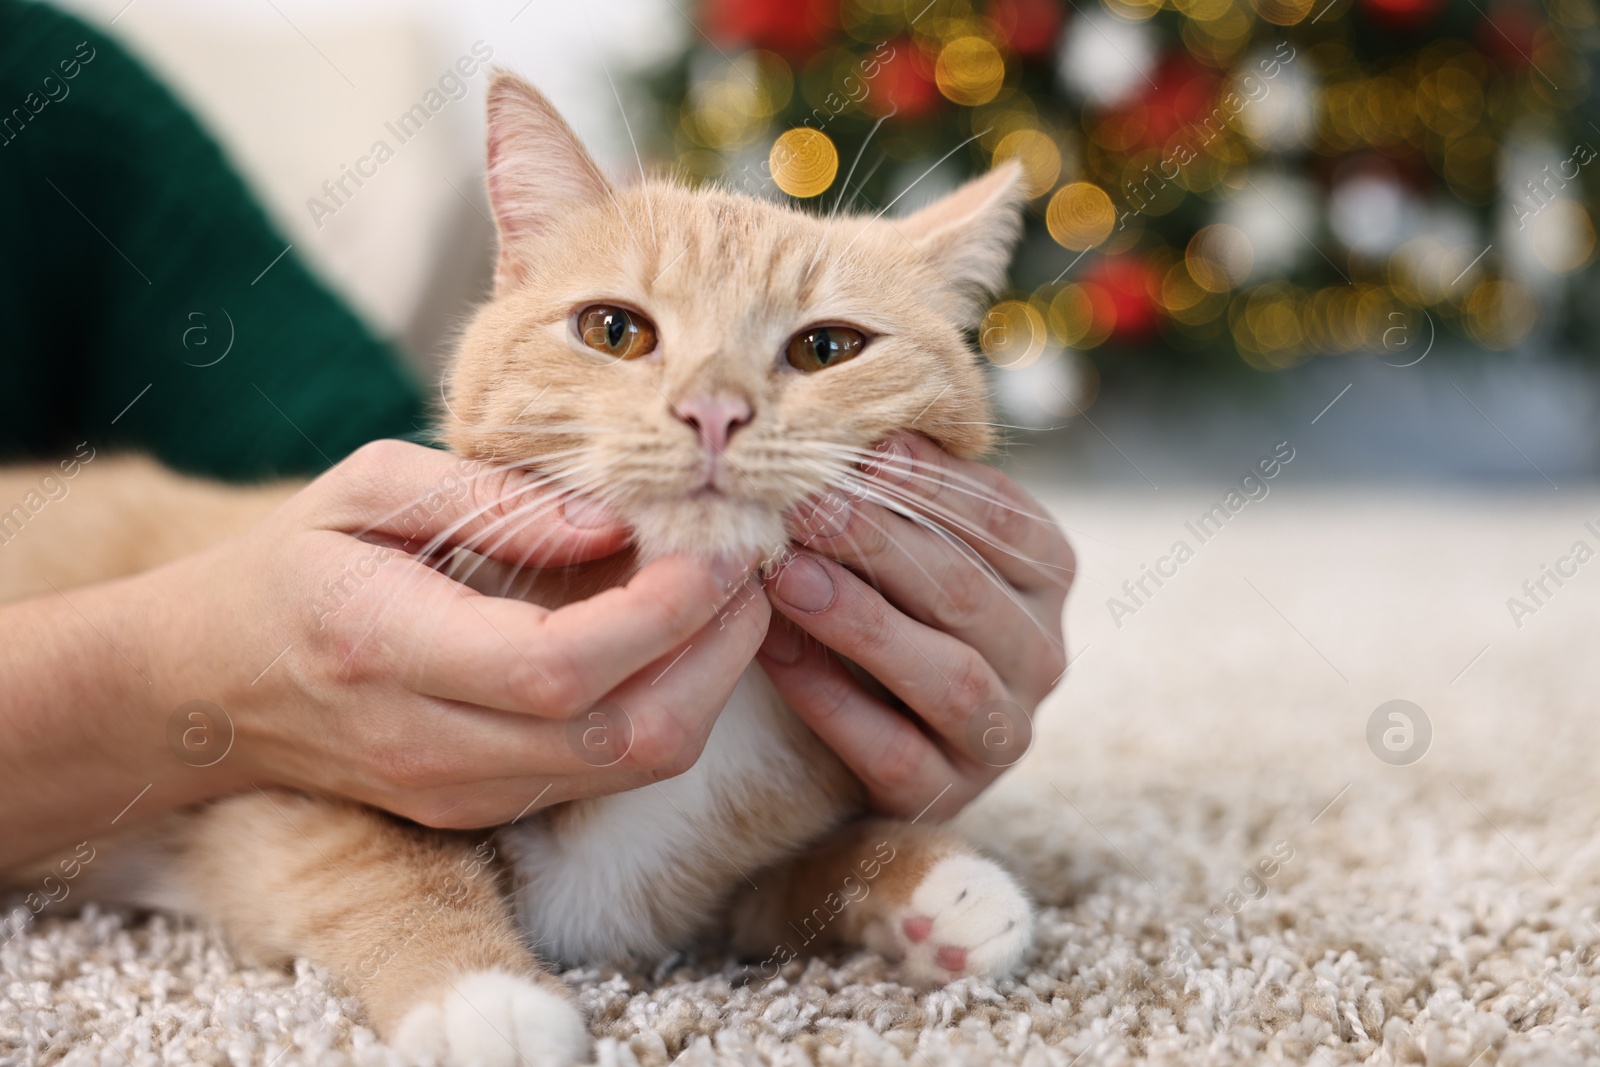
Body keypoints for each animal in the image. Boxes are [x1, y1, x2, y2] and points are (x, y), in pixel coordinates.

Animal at [3, 77, 1049, 1067]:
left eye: (827, 347)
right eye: (616, 331)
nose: (714, 410)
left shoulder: (713, 907)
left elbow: (789, 878)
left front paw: (928, 879)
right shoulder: (282, 791)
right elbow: (382, 864)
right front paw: (483, 997)